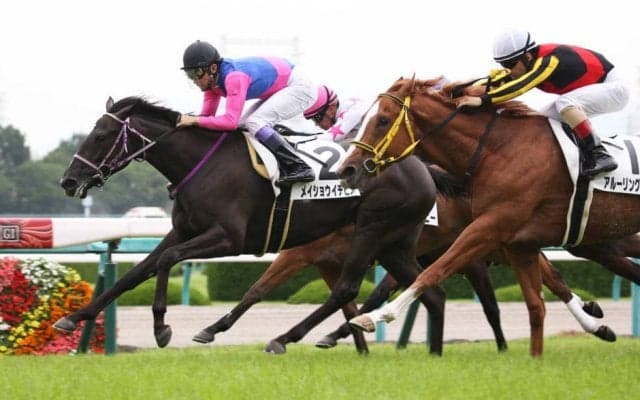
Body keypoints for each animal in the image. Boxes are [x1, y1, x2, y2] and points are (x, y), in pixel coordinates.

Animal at [54, 96, 449, 352]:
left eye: (101, 135)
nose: (69, 181)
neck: (202, 163)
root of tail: (420, 166)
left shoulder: (229, 239)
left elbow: (167, 261)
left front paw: (161, 327)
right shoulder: (182, 231)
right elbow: (136, 272)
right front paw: (74, 317)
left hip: (372, 229)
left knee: (349, 289)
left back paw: (273, 337)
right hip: (394, 243)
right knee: (431, 292)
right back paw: (434, 354)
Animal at [339, 77, 640, 356]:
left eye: (382, 120)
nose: (347, 169)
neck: (499, 151)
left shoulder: (489, 227)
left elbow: (433, 272)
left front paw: (372, 317)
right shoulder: (516, 242)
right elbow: (537, 303)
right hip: (595, 241)